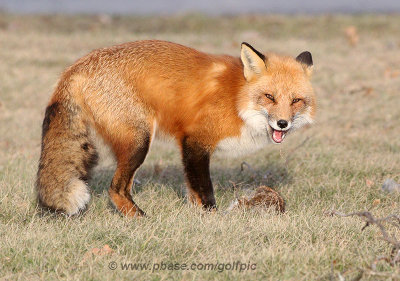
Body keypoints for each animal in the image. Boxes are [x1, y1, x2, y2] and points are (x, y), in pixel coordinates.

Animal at [36, 40, 314, 217]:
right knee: (116, 190)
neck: (237, 100)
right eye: (269, 97)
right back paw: (142, 219)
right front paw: (214, 219)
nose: (282, 123)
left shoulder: (189, 147)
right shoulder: (195, 141)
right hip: (139, 142)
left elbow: (192, 191)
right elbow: (204, 190)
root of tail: (76, 66)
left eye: (296, 101)